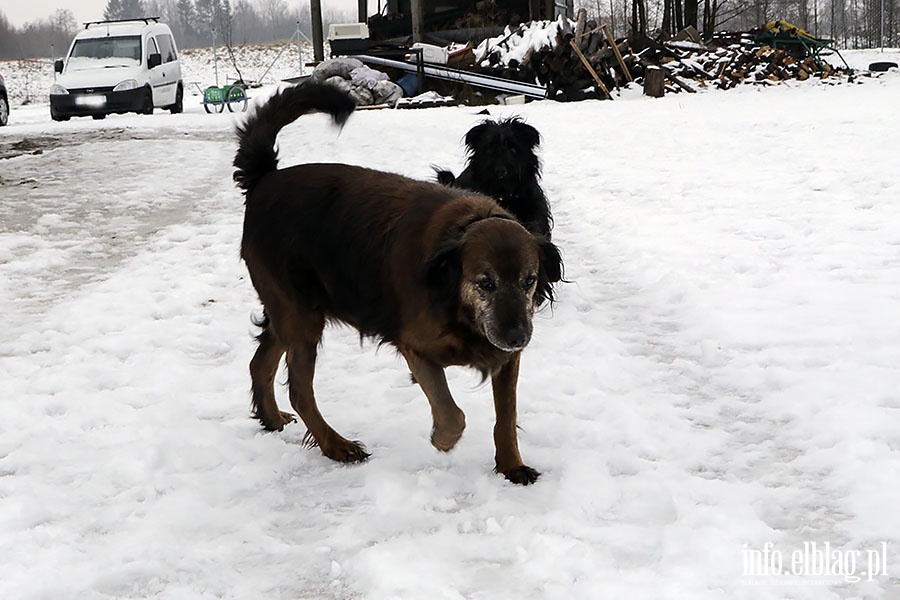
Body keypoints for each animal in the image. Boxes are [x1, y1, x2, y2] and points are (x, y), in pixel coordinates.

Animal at [232, 82, 564, 486]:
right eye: (485, 283)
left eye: (529, 280)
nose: (518, 337)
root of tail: (265, 178)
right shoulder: (414, 346)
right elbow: (452, 413)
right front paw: (442, 439)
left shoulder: (505, 359)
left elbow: (506, 416)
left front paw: (511, 465)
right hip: (300, 314)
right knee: (299, 389)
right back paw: (336, 445)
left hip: (292, 310)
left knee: (260, 362)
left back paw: (271, 418)